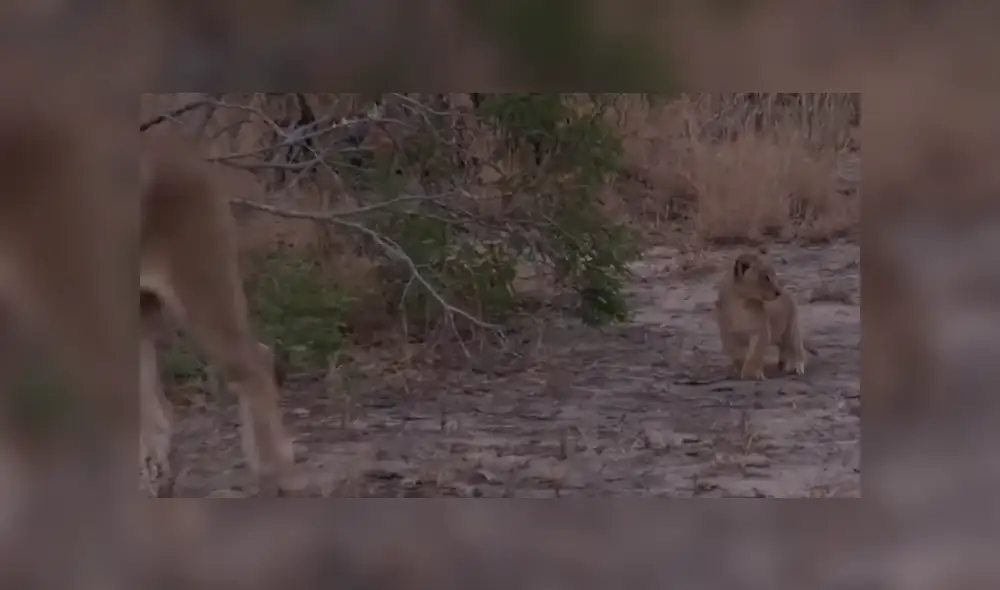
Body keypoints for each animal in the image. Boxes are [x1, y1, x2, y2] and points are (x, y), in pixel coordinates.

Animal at [714, 250, 809, 380]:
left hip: (791, 328)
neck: (740, 303)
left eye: (774, 275)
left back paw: (797, 367)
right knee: (784, 348)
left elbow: (754, 355)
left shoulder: (761, 331)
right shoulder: (728, 334)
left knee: (797, 347)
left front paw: (751, 374)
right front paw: (739, 369)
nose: (778, 292)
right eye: (766, 277)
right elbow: (738, 355)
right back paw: (782, 365)